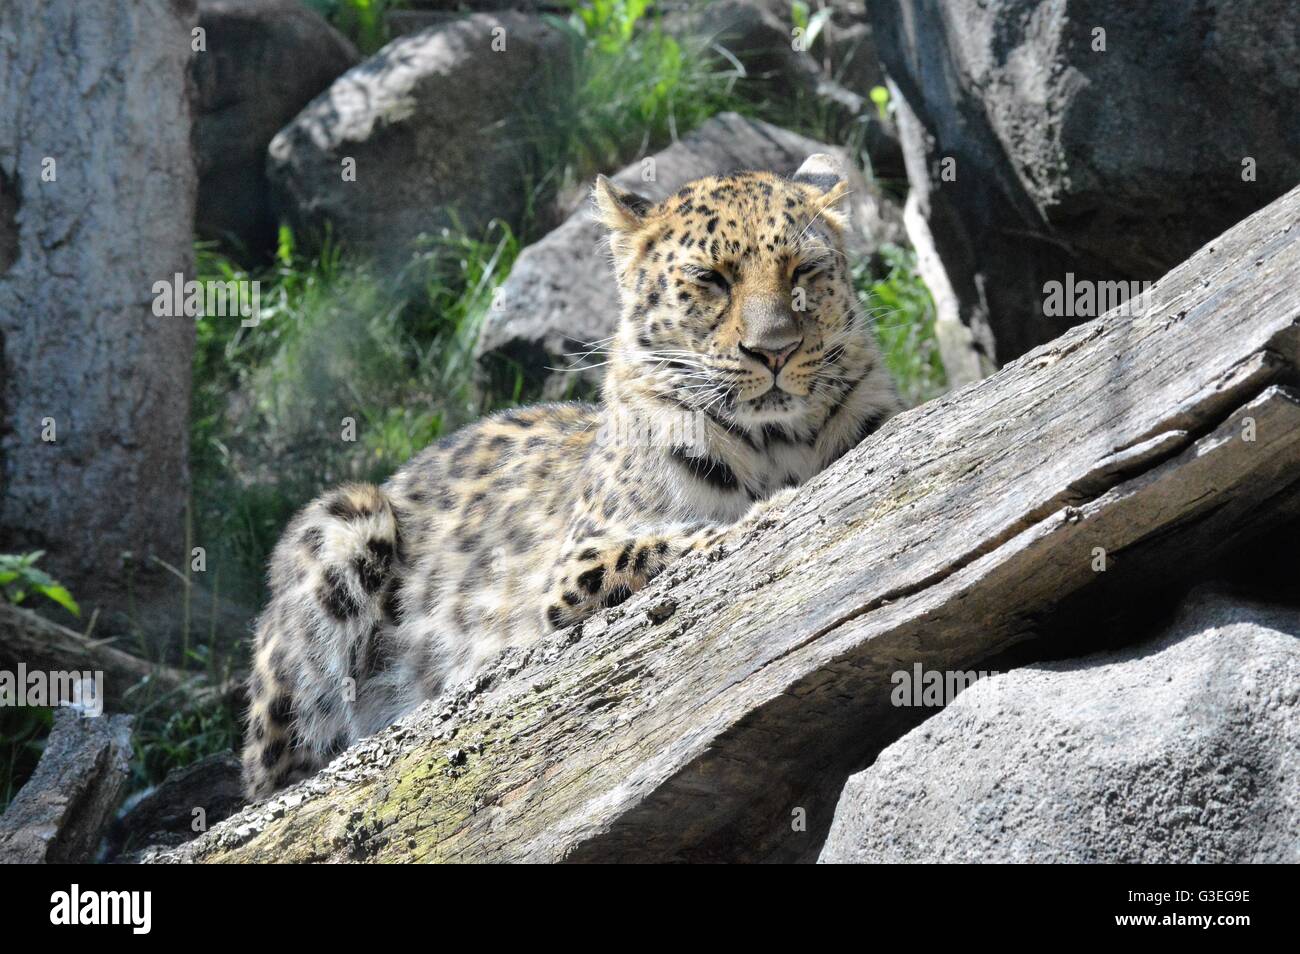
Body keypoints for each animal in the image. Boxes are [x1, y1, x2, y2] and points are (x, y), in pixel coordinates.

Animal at [240, 153, 901, 799]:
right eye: (711, 278)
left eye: (804, 270)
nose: (774, 350)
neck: (779, 441)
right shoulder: (574, 566)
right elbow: (677, 539)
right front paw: (769, 510)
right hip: (344, 520)